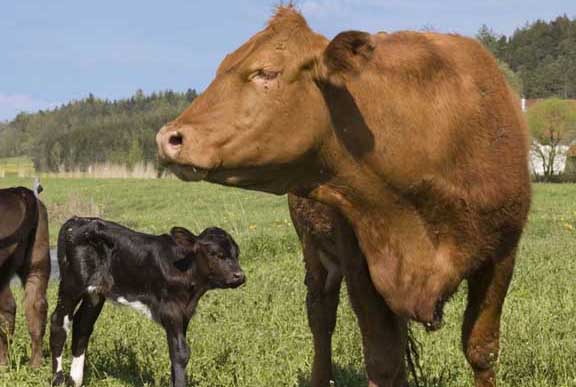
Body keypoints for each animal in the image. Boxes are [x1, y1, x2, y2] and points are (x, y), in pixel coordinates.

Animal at [0, 186, 50, 368]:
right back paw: (35, 364)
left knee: (8, 307)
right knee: (36, 306)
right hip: (38, 260)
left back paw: (3, 363)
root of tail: (18, 191)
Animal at [50, 218, 245, 387]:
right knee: (58, 324)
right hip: (71, 284)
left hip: (95, 292)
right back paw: (58, 380)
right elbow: (181, 353)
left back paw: (75, 381)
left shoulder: (184, 313)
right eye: (215, 254)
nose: (239, 276)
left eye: (236, 254)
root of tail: (77, 220)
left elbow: (177, 350)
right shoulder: (170, 309)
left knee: (82, 326)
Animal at [156, 6, 532, 387]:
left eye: (267, 71)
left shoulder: (501, 256)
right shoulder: (359, 263)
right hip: (313, 250)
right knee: (321, 317)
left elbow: (481, 350)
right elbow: (382, 358)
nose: (169, 138)